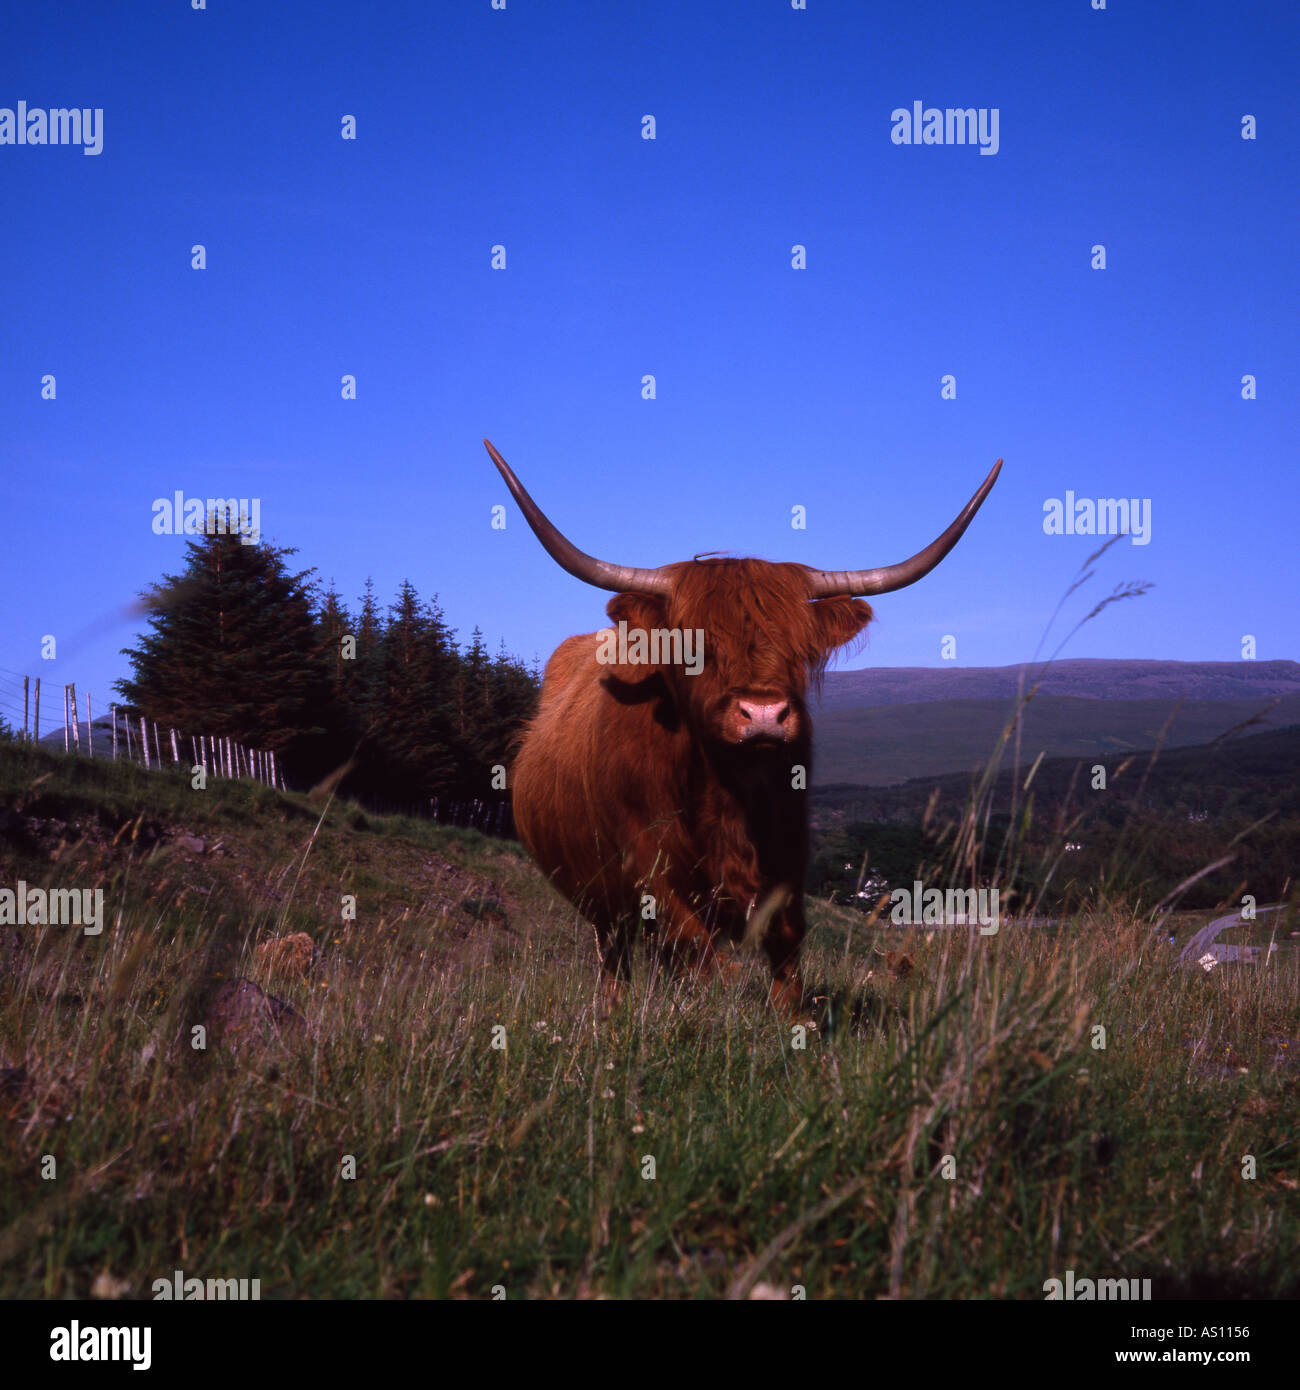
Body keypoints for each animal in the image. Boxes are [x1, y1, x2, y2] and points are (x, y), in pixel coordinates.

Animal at [485, 439, 1001, 1015]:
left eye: (801, 645)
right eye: (693, 644)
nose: (763, 714)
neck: (727, 790)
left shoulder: (789, 855)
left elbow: (786, 951)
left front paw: (789, 1021)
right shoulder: (644, 862)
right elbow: (701, 952)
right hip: (599, 900)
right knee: (616, 956)